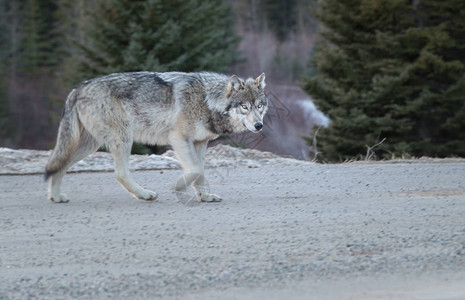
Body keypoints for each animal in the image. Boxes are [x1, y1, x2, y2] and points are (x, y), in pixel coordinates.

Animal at [46, 71, 268, 203]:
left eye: (259, 106)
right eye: (244, 107)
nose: (259, 125)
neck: (207, 100)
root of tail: (78, 88)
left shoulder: (199, 143)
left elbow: (200, 173)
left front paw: (204, 196)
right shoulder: (178, 138)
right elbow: (195, 170)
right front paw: (178, 187)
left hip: (89, 145)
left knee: (60, 165)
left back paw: (56, 197)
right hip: (123, 138)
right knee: (120, 173)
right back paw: (145, 195)